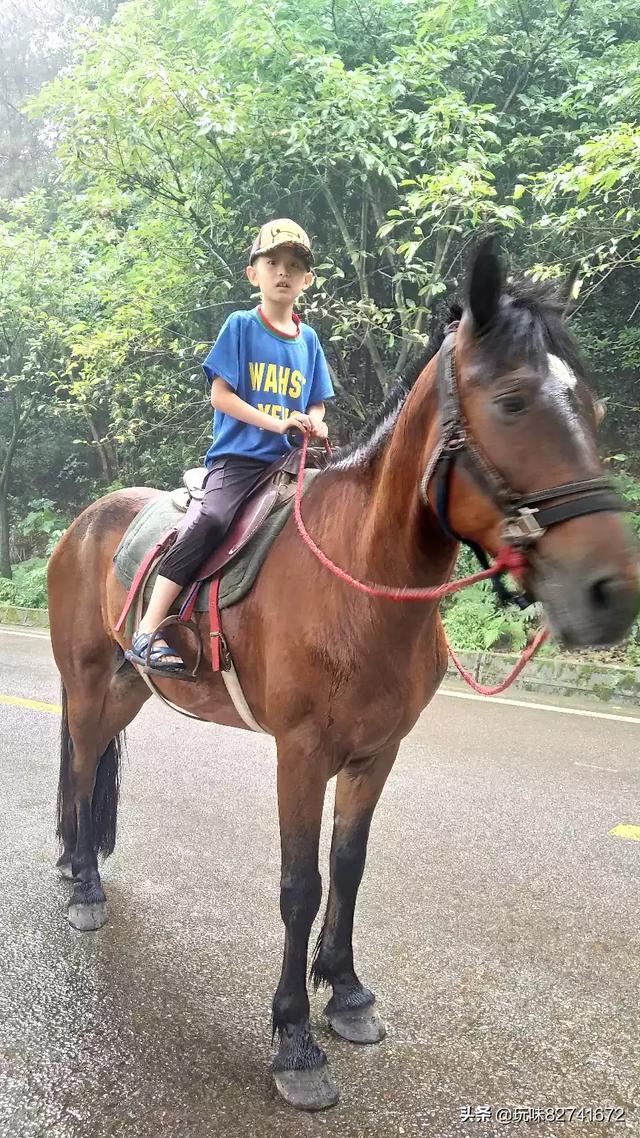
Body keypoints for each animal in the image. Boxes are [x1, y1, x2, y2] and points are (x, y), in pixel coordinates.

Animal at [47, 244, 633, 1106]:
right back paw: (85, 885)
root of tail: (83, 523)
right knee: (86, 767)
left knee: (93, 769)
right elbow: (301, 884)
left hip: (126, 689)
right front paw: (293, 1038)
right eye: (513, 401)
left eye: (590, 408)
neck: (362, 582)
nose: (610, 593)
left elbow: (349, 869)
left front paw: (346, 991)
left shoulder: (376, 752)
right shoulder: (300, 753)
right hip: (88, 683)